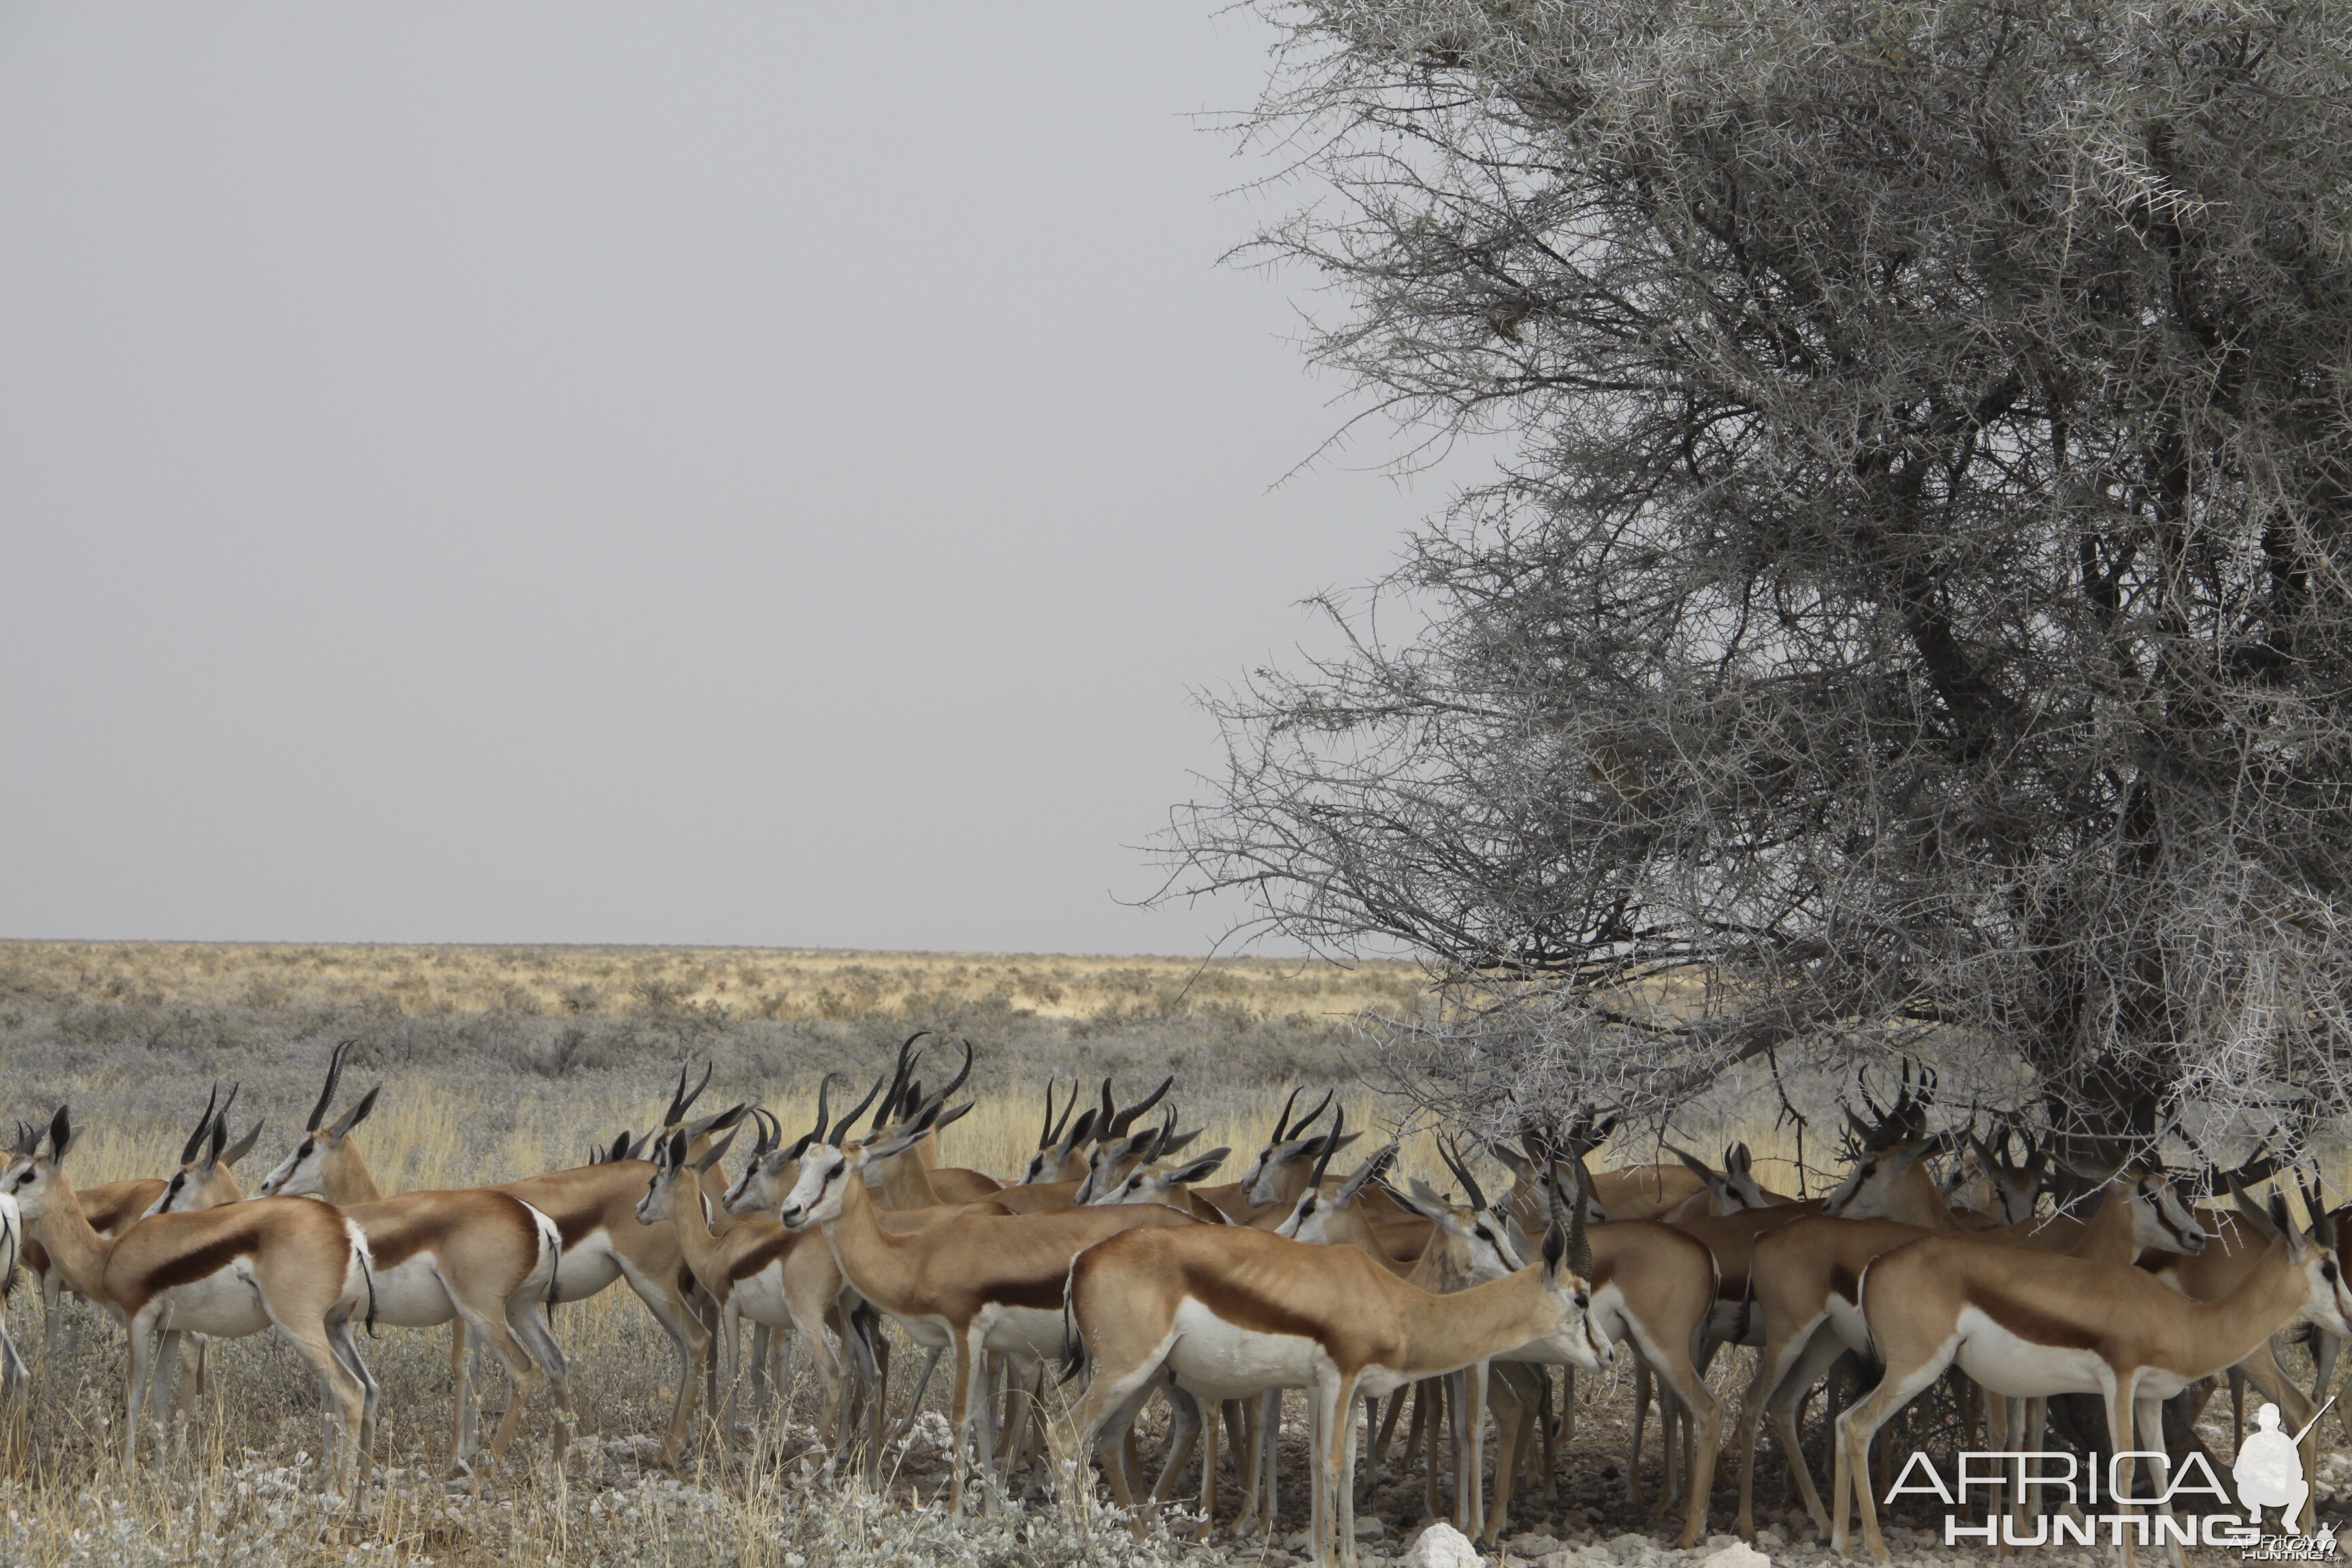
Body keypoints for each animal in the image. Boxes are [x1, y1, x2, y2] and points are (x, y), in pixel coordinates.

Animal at [2, 1109, 376, 1494]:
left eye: (26, 1175)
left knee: (350, 1391)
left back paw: (340, 1499)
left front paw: (127, 1476)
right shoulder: (171, 1330)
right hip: (334, 1325)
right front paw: (162, 1475)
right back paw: (358, 1496)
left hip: (300, 1327)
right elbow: (160, 1397)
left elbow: (134, 1395)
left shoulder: (138, 1321)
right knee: (368, 1390)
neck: (106, 1256)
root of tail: (346, 1230)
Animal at [243, 1043, 578, 1486]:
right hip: (519, 1307)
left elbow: (335, 1389)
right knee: (556, 1363)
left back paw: (482, 1472)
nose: (267, 1185)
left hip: (484, 1311)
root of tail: (534, 1218)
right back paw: (556, 1465)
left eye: (306, 1148)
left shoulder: (342, 1321)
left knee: (523, 1370)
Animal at [781, 1090, 1204, 1504]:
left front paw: (958, 1513)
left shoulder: (965, 1334)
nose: (790, 1212)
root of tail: (1190, 1221)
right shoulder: (983, 1343)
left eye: (836, 1168)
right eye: (803, 1161)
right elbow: (983, 1416)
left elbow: (961, 1417)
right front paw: (990, 1507)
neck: (919, 1254)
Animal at [1058, 1161, 1608, 1568]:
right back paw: (1081, 1541)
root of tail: (1082, 1260)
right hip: (1123, 1373)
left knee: (1106, 1439)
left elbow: (1337, 1464)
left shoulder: (1340, 1389)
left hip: (1144, 1378)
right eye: (1581, 1298)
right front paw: (1323, 1553)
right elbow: (1331, 1463)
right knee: (1066, 1435)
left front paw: (1343, 1554)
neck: (1393, 1298)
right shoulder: (1337, 1380)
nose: (1606, 1352)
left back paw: (1133, 1538)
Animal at [1834, 1184, 2352, 1561]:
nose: (2349, 1317)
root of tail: (1876, 1266)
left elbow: (2162, 1471)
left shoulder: (2149, 1397)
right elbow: (2124, 1470)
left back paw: (1841, 1545)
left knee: (1841, 1421)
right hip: (1915, 1370)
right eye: (2329, 1268)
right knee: (1858, 1426)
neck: (2183, 1319)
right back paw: (1878, 1552)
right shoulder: (2118, 1383)